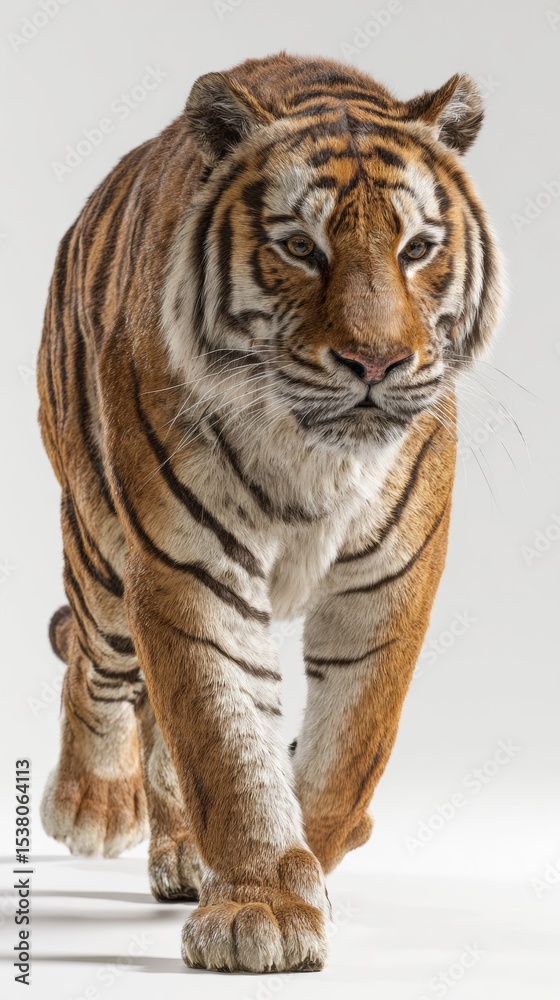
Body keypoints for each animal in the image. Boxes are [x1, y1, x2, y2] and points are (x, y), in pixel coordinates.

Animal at [37, 52, 503, 973]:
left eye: (418, 249)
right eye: (299, 248)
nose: (376, 362)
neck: (313, 455)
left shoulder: (389, 583)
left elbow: (342, 757)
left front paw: (301, 866)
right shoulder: (187, 566)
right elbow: (223, 739)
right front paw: (263, 906)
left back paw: (184, 852)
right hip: (101, 551)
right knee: (95, 662)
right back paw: (93, 805)